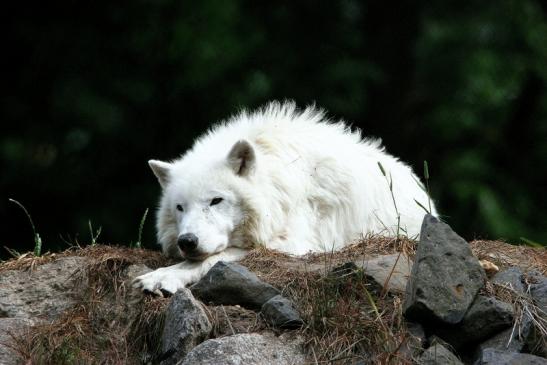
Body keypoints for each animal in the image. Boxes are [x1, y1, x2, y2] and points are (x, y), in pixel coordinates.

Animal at [133, 101, 436, 292]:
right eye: (180, 207)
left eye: (215, 201)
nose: (187, 241)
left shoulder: (295, 243)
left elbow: (215, 257)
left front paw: (163, 277)